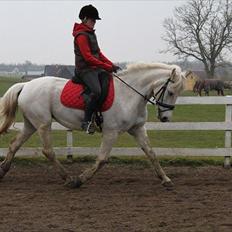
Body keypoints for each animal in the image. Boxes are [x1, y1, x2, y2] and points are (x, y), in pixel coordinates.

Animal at [0, 63, 185, 188]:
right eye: (170, 92)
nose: (165, 117)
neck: (129, 94)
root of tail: (26, 85)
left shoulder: (137, 129)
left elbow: (151, 153)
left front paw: (166, 179)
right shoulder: (111, 132)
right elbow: (102, 159)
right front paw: (80, 179)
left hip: (31, 124)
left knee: (14, 144)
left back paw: (3, 170)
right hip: (43, 124)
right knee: (48, 151)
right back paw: (68, 178)